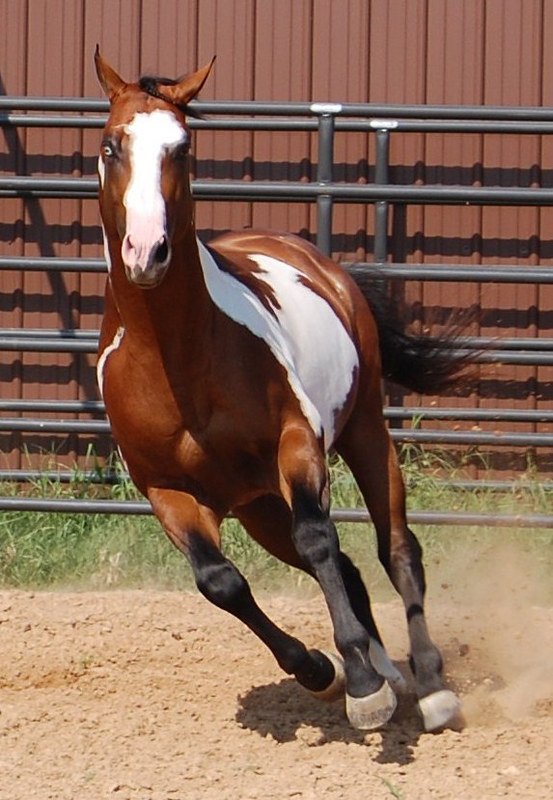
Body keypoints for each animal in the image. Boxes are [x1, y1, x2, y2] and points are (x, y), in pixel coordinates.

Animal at [94, 47, 470, 732]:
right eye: (112, 145)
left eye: (182, 147)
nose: (146, 250)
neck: (174, 360)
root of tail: (324, 268)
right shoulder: (166, 489)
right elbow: (221, 582)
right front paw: (325, 671)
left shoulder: (297, 444)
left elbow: (319, 538)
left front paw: (363, 687)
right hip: (258, 504)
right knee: (347, 567)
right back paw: (387, 673)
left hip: (364, 432)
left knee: (395, 550)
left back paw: (428, 685)